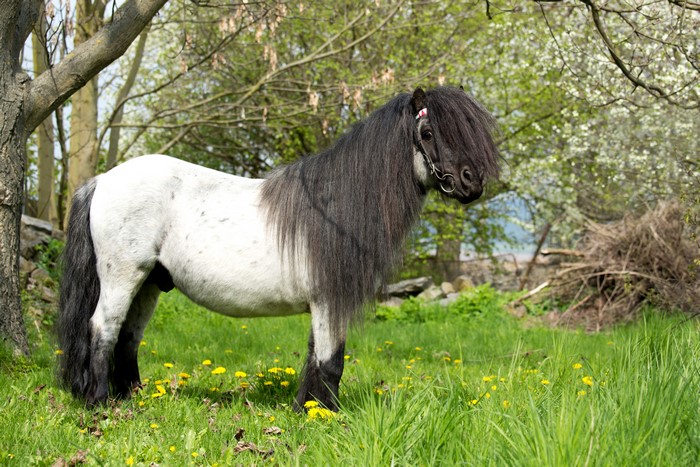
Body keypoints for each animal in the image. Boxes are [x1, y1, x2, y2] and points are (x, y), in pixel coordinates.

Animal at [57, 86, 500, 411]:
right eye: (427, 134)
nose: (472, 182)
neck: (337, 204)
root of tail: (101, 181)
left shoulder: (324, 303)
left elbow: (316, 357)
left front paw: (306, 408)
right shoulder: (329, 299)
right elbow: (331, 361)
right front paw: (326, 415)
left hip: (150, 283)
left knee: (128, 338)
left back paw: (133, 397)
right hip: (123, 276)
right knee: (103, 329)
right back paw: (100, 403)